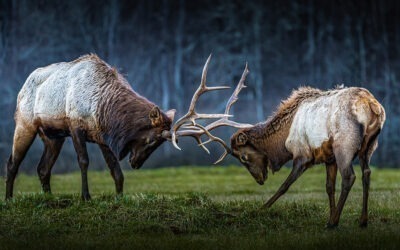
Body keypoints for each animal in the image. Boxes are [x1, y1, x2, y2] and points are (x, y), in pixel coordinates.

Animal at [5, 53, 250, 200]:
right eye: (151, 139)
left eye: (159, 145)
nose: (136, 163)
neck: (101, 106)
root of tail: (22, 87)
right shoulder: (75, 126)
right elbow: (83, 161)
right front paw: (86, 197)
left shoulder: (101, 135)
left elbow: (115, 170)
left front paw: (120, 197)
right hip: (25, 123)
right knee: (13, 162)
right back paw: (8, 198)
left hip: (53, 136)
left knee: (42, 168)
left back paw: (49, 198)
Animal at [230, 87, 386, 228]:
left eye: (243, 157)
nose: (259, 180)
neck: (282, 142)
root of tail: (373, 105)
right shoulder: (330, 158)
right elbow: (329, 187)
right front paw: (330, 215)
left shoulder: (302, 155)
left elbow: (285, 185)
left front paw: (261, 209)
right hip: (369, 146)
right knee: (366, 173)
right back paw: (361, 220)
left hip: (344, 145)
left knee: (349, 177)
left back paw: (334, 223)